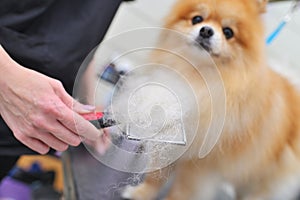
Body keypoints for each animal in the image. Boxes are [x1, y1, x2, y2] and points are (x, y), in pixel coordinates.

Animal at [120, 0, 300, 199]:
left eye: (228, 32)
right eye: (197, 19)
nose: (206, 30)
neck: (195, 76)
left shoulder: (200, 165)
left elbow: (182, 191)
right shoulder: (171, 142)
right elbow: (155, 175)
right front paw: (141, 193)